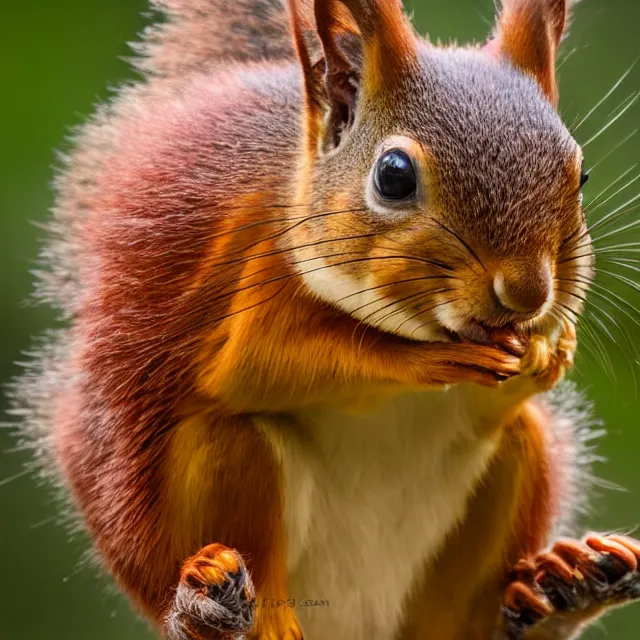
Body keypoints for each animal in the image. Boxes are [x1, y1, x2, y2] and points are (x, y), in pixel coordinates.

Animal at [12, 0, 640, 636]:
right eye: (393, 175)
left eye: (580, 174)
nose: (528, 294)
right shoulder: (255, 276)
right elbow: (258, 366)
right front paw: (431, 359)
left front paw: (548, 352)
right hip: (220, 479)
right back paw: (250, 618)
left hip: (512, 469)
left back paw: (555, 592)